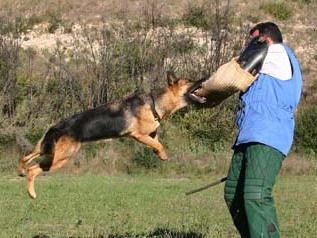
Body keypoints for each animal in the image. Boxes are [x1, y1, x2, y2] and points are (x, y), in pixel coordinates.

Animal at [17, 72, 193, 199]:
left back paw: (20, 171)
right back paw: (31, 193)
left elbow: (156, 141)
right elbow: (158, 144)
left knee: (25, 157)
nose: (199, 79)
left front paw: (159, 153)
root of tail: (57, 127)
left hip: (46, 149)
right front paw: (163, 154)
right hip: (60, 158)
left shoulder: (150, 133)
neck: (154, 103)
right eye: (190, 81)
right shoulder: (137, 135)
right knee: (33, 169)